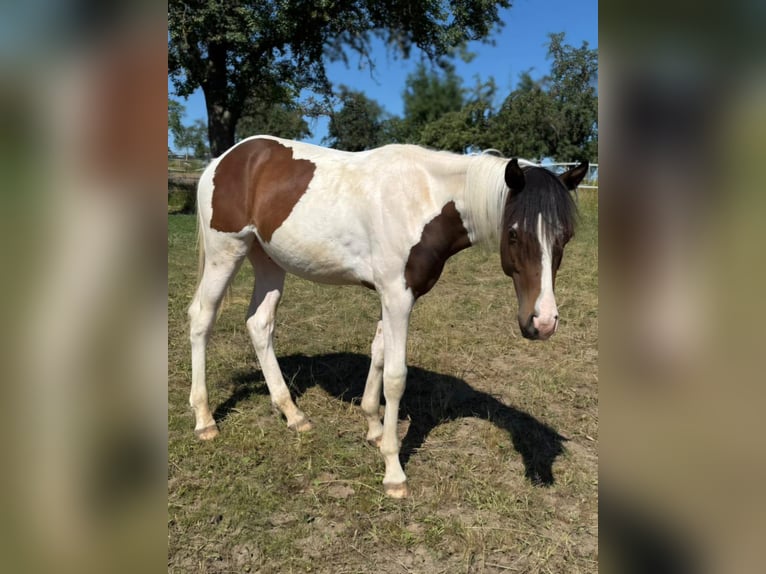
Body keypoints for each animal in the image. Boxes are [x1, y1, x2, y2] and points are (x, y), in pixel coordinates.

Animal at [187, 135, 588, 498]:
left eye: (565, 236)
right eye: (514, 234)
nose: (543, 322)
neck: (425, 200)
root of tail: (224, 159)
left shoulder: (391, 298)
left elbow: (378, 355)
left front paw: (375, 429)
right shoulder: (397, 296)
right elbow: (396, 377)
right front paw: (394, 471)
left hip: (268, 260)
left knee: (259, 324)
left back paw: (293, 415)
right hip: (226, 253)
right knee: (201, 319)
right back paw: (205, 420)